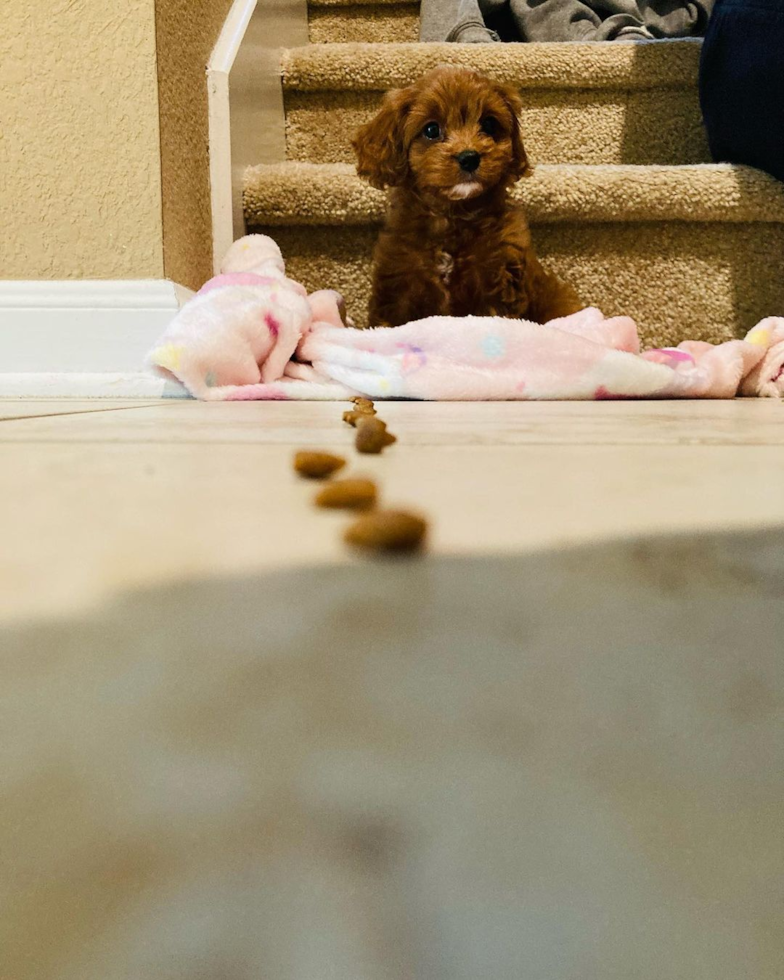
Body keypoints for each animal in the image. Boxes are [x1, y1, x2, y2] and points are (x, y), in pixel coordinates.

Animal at [354, 69, 580, 332]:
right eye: (431, 130)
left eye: (489, 124)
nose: (469, 157)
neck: (453, 215)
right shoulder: (398, 282)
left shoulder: (497, 280)